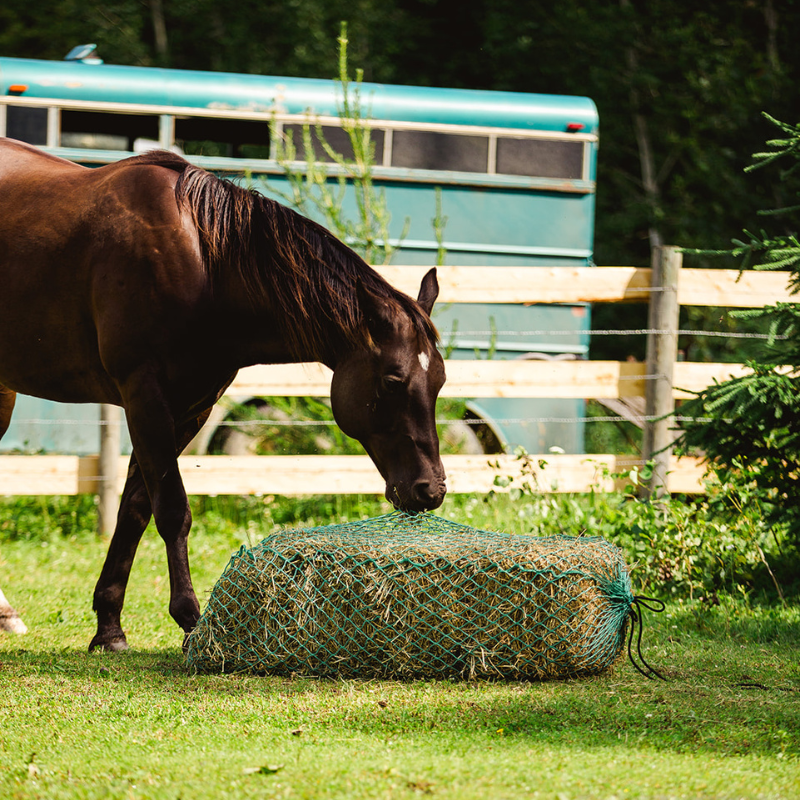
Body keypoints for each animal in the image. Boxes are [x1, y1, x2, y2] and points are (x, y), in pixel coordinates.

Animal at [0, 138, 450, 648]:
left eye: (439, 381)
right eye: (393, 380)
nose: (430, 489)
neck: (204, 267)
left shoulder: (188, 409)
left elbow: (135, 508)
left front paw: (109, 626)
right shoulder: (144, 396)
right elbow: (172, 510)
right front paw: (190, 618)